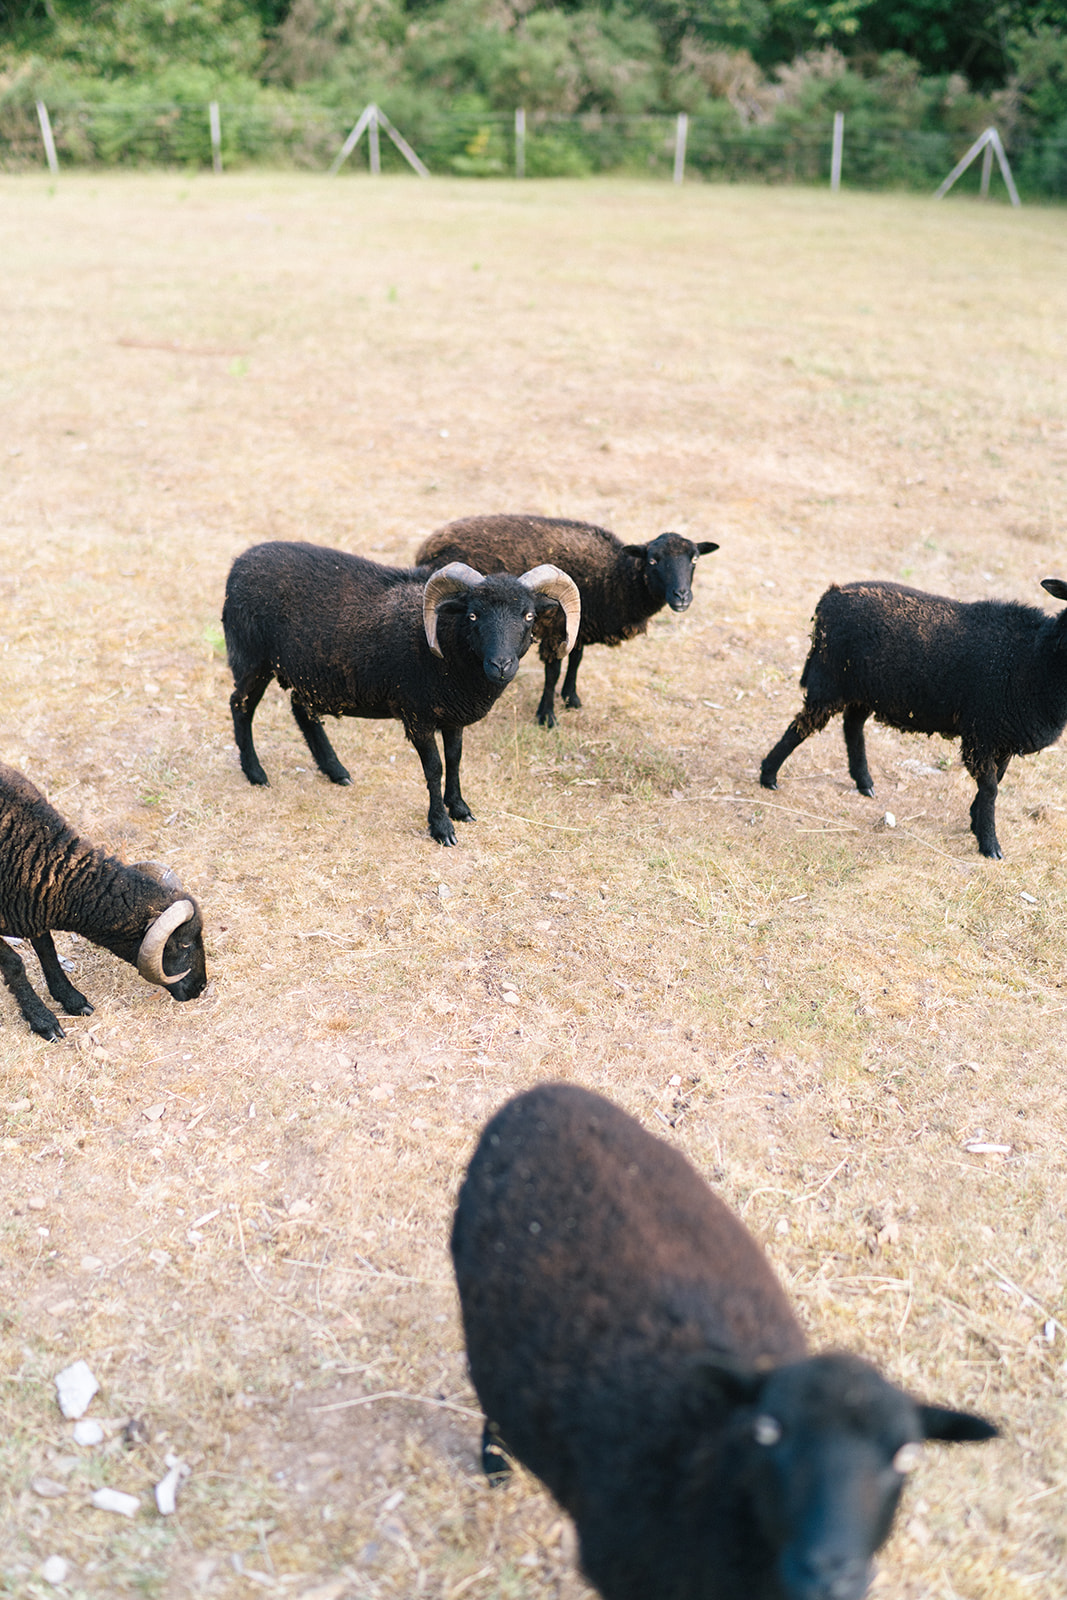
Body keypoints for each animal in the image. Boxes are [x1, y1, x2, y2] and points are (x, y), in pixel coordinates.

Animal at [0, 758, 207, 1043]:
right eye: (184, 944)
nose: (201, 986)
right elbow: (14, 965)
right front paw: (43, 1021)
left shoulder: (32, 907)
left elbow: (47, 948)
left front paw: (72, 999)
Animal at [220, 540, 579, 844]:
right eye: (473, 615)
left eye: (528, 615)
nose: (501, 665)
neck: (447, 643)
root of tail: (241, 561)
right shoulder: (417, 716)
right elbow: (434, 768)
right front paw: (441, 826)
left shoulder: (453, 715)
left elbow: (455, 759)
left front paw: (459, 808)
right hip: (253, 657)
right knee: (241, 705)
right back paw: (255, 773)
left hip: (306, 672)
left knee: (300, 710)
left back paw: (336, 771)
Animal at [415, 515, 716, 729]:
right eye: (653, 560)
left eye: (695, 560)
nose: (682, 596)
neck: (615, 576)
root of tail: (428, 545)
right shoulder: (555, 628)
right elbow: (553, 673)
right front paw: (547, 716)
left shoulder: (577, 625)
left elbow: (576, 660)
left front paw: (571, 699)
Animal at [454, 1081, 1004, 1600]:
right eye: (768, 1431)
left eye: (907, 1456)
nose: (830, 1577)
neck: (714, 1469)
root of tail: (545, 1091)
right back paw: (496, 1467)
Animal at [764, 579, 1067, 857]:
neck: (1033, 659)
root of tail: (832, 594)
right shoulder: (981, 733)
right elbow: (991, 788)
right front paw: (989, 844)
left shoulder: (1002, 737)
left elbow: (994, 783)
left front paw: (975, 821)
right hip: (830, 681)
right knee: (802, 726)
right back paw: (768, 775)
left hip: (865, 689)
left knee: (852, 726)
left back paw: (864, 782)